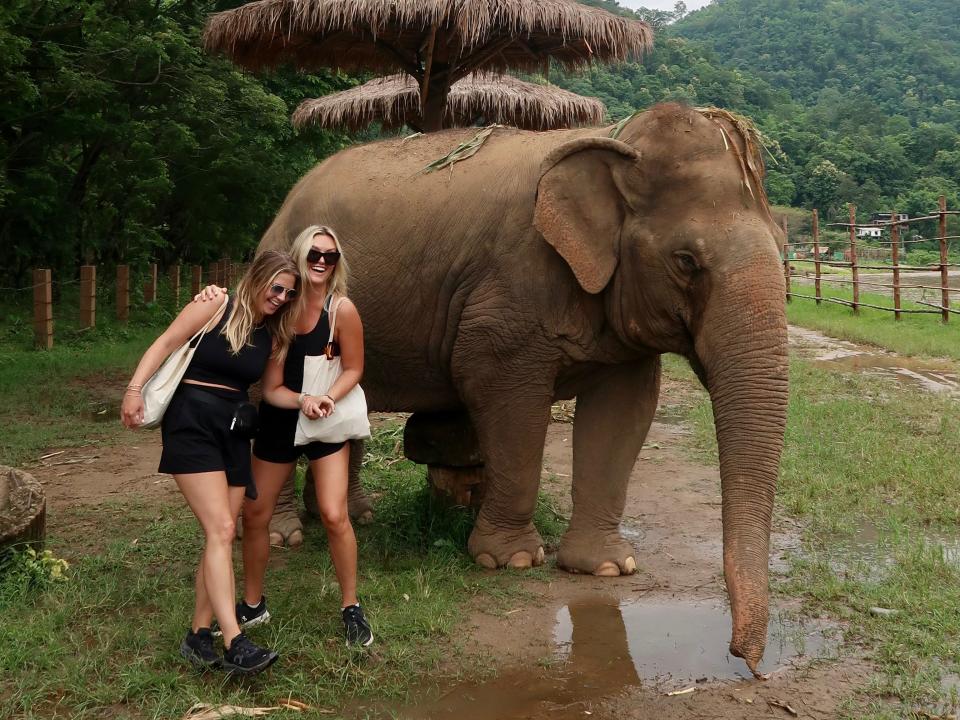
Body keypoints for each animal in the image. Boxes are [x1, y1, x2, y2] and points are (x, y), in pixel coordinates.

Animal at [255, 102, 788, 676]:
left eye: (785, 251)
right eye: (687, 261)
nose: (747, 663)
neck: (615, 140)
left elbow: (624, 412)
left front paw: (606, 568)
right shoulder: (508, 297)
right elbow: (505, 399)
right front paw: (508, 559)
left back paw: (355, 516)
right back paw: (285, 534)